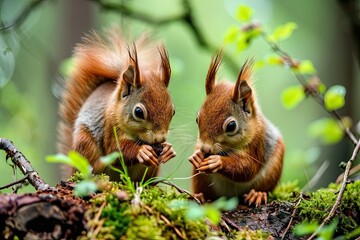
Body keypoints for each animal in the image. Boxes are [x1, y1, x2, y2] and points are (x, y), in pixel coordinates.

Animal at [57, 28, 176, 182]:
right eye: (138, 112)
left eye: (173, 111)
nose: (160, 138)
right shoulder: (110, 126)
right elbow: (115, 148)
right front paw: (141, 151)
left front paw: (168, 149)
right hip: (85, 144)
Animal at [188, 51, 284, 206]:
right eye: (197, 119)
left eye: (231, 126)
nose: (205, 149)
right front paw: (196, 155)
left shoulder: (257, 143)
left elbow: (247, 168)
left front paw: (218, 162)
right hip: (200, 179)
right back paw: (200, 196)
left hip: (273, 170)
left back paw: (257, 194)